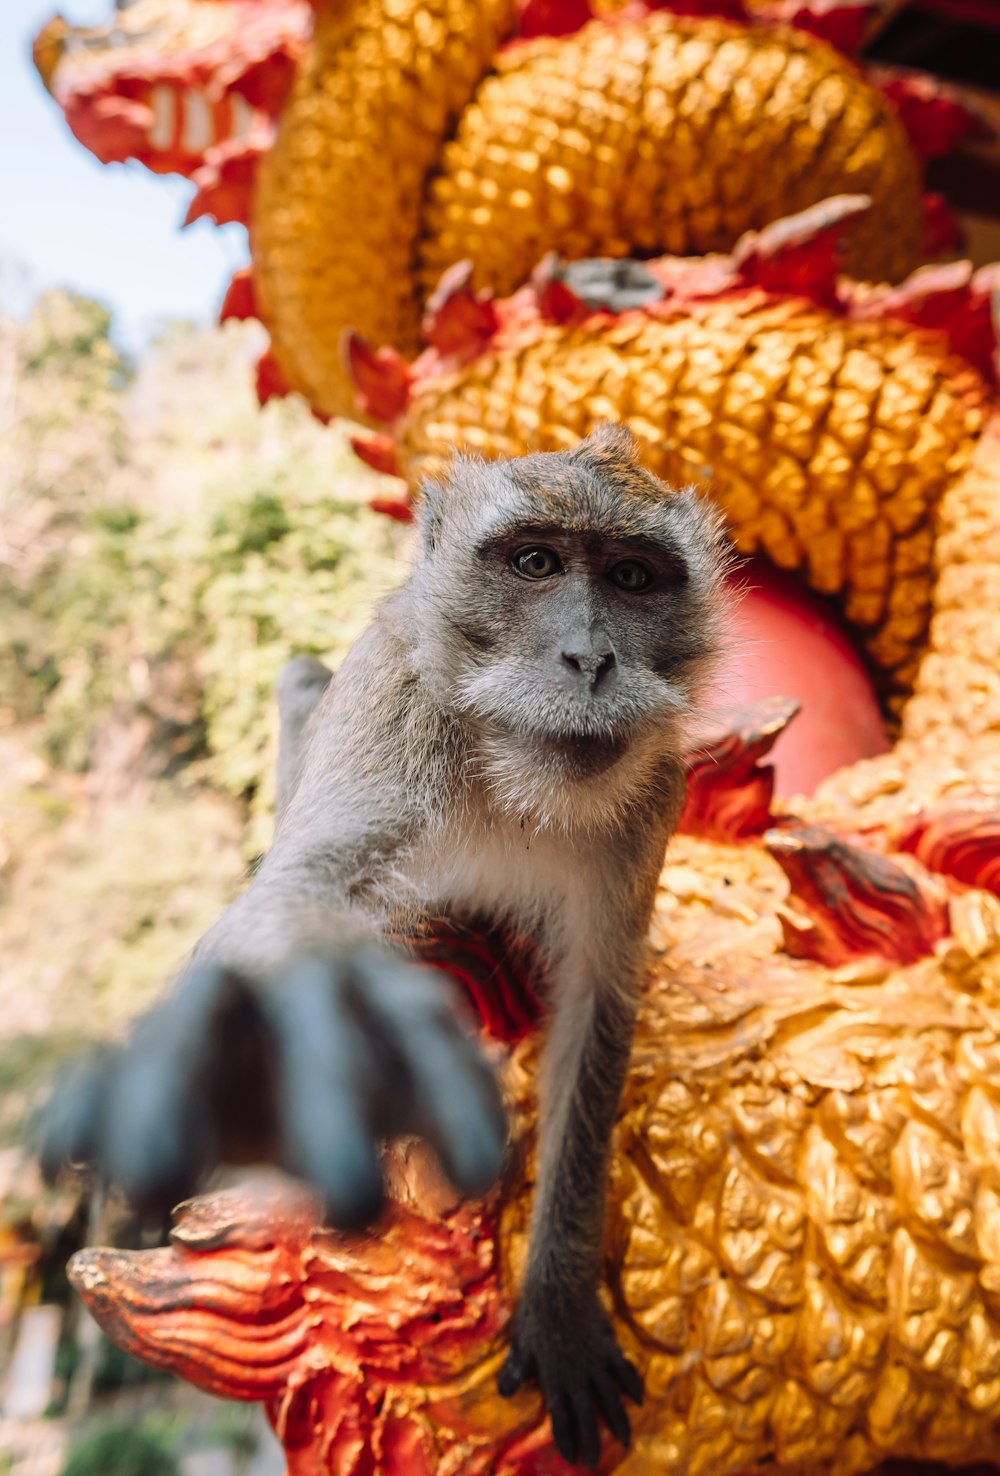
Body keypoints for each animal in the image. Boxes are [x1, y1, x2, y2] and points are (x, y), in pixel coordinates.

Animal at [44, 422, 728, 1470]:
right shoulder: (394, 717)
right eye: (536, 562)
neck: (511, 767)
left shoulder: (653, 794)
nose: (589, 659)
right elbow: (300, 891)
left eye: (631, 576)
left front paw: (557, 1298)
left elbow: (596, 1010)